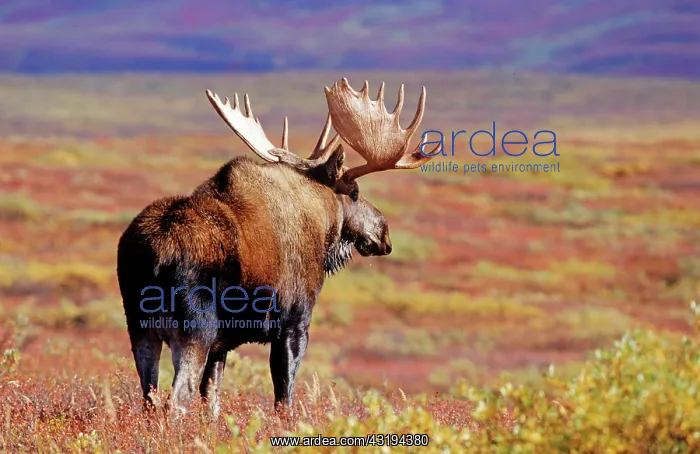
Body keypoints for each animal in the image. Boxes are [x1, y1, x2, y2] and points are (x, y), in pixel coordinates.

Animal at [116, 77, 438, 419]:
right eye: (354, 192)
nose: (384, 234)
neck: (322, 225)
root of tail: (154, 257)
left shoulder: (221, 345)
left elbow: (212, 400)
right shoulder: (294, 322)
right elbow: (284, 399)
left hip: (140, 327)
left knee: (150, 398)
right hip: (194, 329)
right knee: (176, 401)